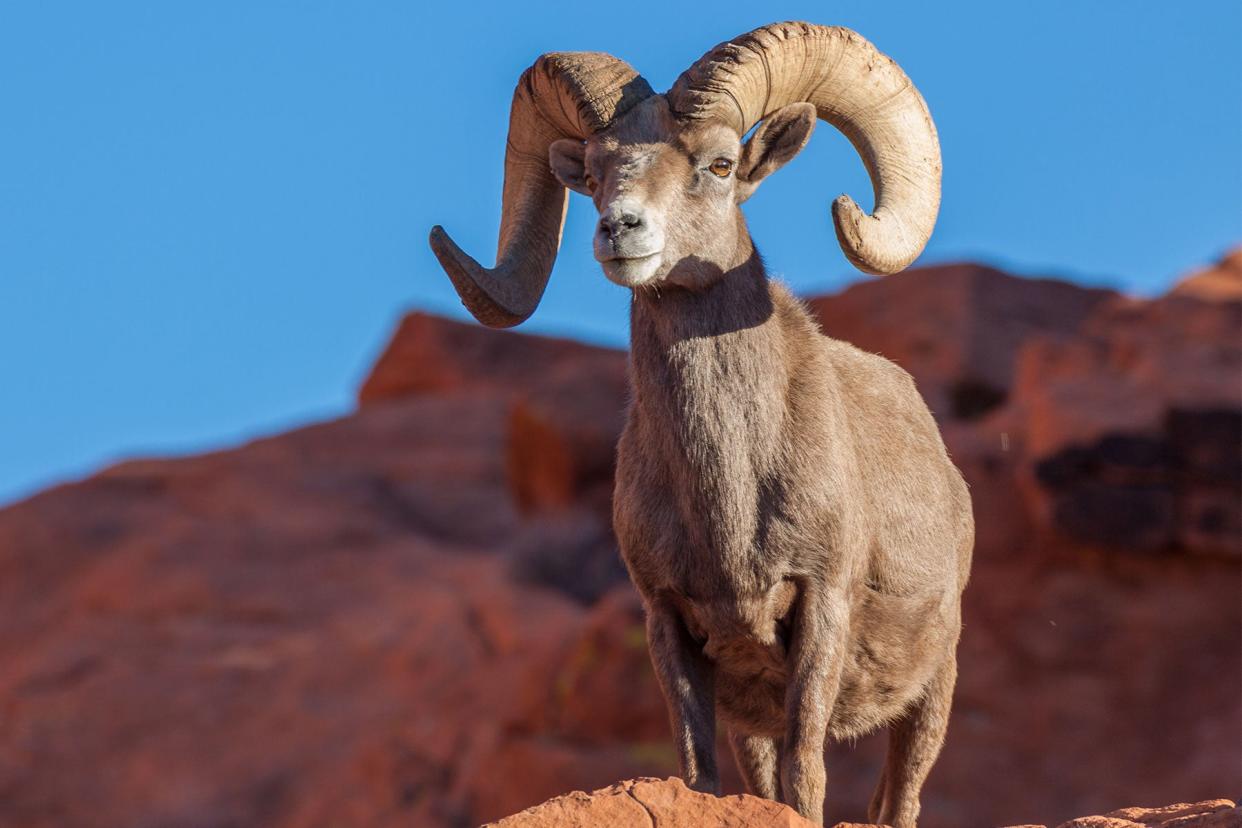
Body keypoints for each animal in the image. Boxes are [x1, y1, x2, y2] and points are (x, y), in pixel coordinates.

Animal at [432, 22, 973, 824]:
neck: (731, 494)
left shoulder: (821, 608)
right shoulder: (672, 625)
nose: (620, 230)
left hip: (932, 691)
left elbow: (806, 771)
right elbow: (699, 774)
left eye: (719, 165)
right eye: (595, 173)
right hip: (755, 717)